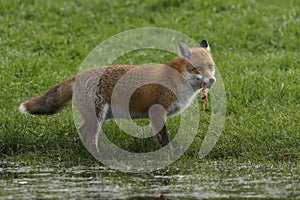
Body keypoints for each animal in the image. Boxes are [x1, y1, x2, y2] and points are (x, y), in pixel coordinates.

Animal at [19, 40, 216, 149]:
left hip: (101, 117)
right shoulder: (156, 112)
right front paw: (169, 156)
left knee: (83, 132)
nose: (212, 80)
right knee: (91, 140)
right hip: (97, 117)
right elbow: (165, 140)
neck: (177, 80)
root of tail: (78, 75)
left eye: (211, 66)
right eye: (198, 68)